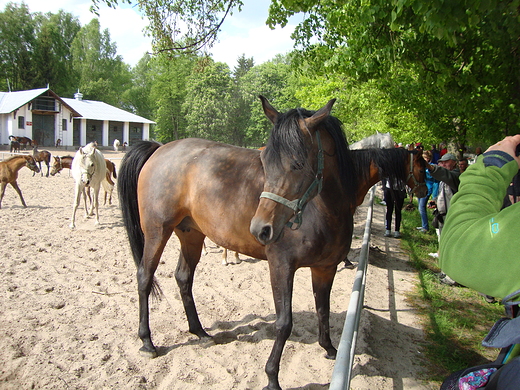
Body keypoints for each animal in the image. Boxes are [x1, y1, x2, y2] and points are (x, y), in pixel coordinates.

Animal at [118, 96, 426, 390]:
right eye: (265, 161)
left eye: (298, 164)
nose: (260, 229)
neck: (324, 209)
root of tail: (160, 149)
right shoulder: (281, 266)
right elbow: (284, 322)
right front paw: (272, 377)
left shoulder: (325, 269)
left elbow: (322, 309)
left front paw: (329, 348)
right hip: (157, 231)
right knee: (145, 277)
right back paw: (147, 341)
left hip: (191, 234)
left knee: (183, 277)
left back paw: (200, 332)